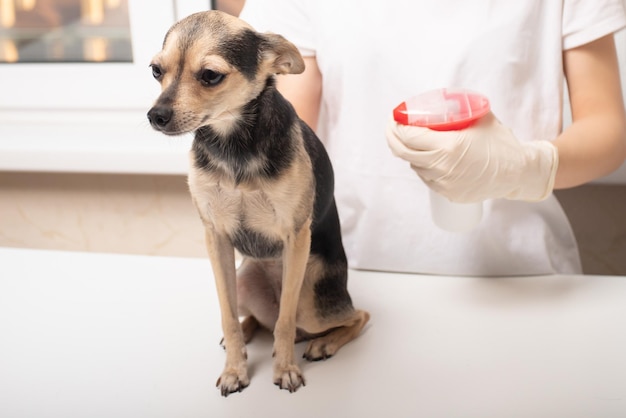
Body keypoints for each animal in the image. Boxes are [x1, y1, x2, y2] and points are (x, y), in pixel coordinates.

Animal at [147, 9, 368, 396]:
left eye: (210, 75)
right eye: (156, 71)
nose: (155, 116)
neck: (233, 143)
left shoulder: (296, 236)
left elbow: (283, 323)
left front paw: (285, 369)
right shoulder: (215, 238)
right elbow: (227, 314)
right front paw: (235, 369)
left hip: (312, 301)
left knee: (350, 317)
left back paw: (324, 342)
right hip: (244, 281)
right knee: (254, 316)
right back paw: (249, 329)